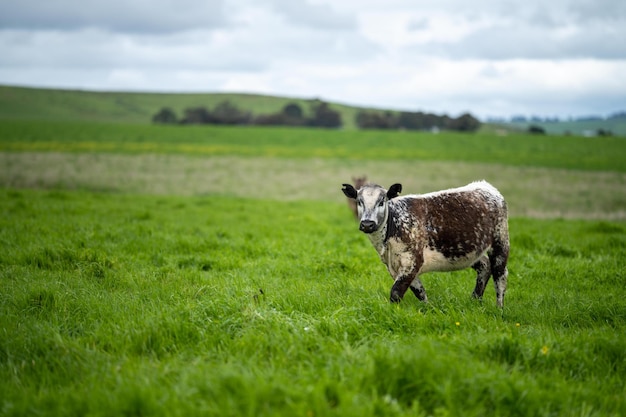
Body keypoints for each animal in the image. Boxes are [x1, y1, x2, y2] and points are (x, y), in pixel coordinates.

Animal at [342, 180, 508, 308]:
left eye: (382, 201)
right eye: (359, 201)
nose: (367, 224)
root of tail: (485, 185)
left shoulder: (412, 260)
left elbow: (396, 292)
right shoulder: (396, 266)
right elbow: (419, 291)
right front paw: (428, 309)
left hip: (501, 242)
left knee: (500, 275)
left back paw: (499, 309)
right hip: (467, 251)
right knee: (485, 266)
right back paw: (475, 300)